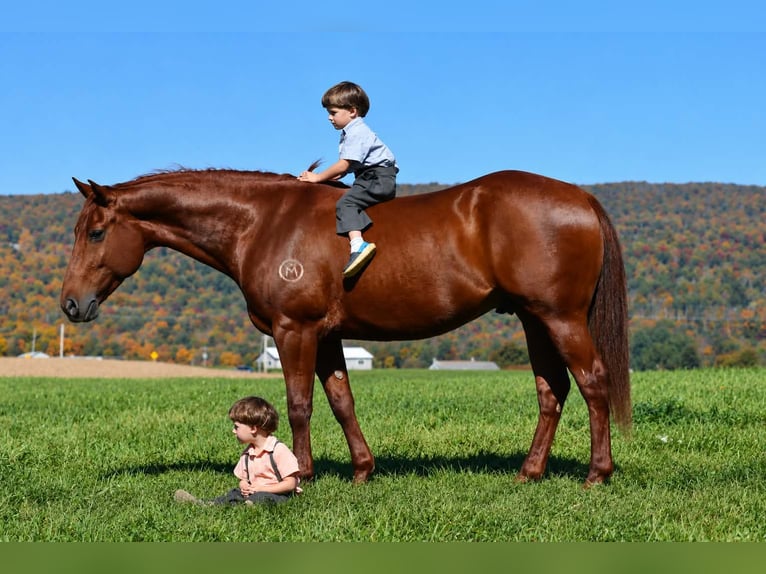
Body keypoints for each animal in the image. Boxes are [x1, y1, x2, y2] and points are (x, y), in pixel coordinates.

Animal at [60, 167, 631, 487]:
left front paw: (303, 474)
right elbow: (341, 401)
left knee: (593, 383)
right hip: (535, 321)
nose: (70, 305)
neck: (262, 221)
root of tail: (582, 198)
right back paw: (530, 473)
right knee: (552, 390)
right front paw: (361, 470)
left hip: (560, 319)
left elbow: (298, 404)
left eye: (95, 232)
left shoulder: (295, 330)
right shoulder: (328, 336)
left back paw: (596, 474)